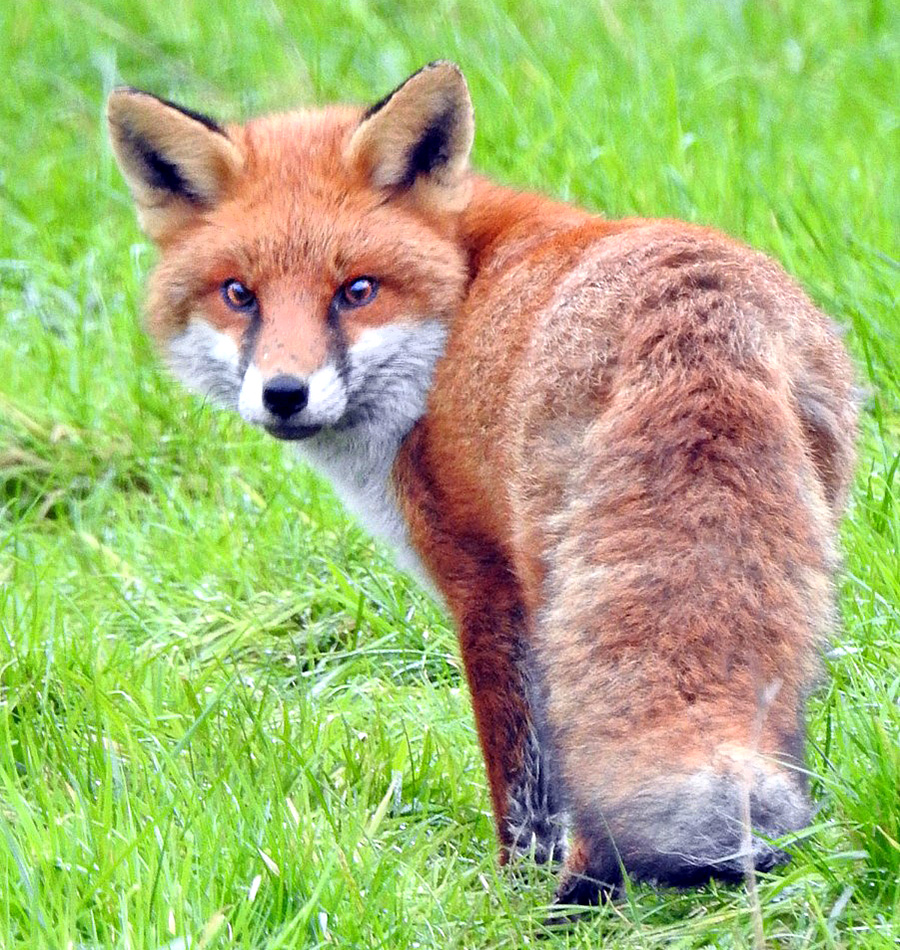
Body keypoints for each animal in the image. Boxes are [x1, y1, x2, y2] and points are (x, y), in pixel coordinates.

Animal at [107, 61, 857, 904]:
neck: (458, 303)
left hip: (561, 584)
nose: (285, 394)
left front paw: (513, 888)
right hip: (789, 580)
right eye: (240, 294)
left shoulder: (483, 582)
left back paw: (582, 895)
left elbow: (522, 781)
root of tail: (698, 322)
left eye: (357, 290)